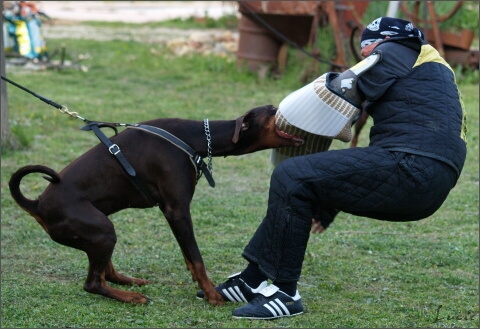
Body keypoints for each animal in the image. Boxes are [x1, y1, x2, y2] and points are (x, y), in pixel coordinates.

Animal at [8, 105, 304, 304]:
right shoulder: (177, 210)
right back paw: (130, 297)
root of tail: (36, 204)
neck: (195, 137)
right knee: (92, 283)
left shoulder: (173, 212)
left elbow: (189, 257)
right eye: (273, 109)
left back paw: (127, 281)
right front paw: (212, 294)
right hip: (102, 230)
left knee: (104, 271)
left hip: (100, 228)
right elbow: (197, 258)